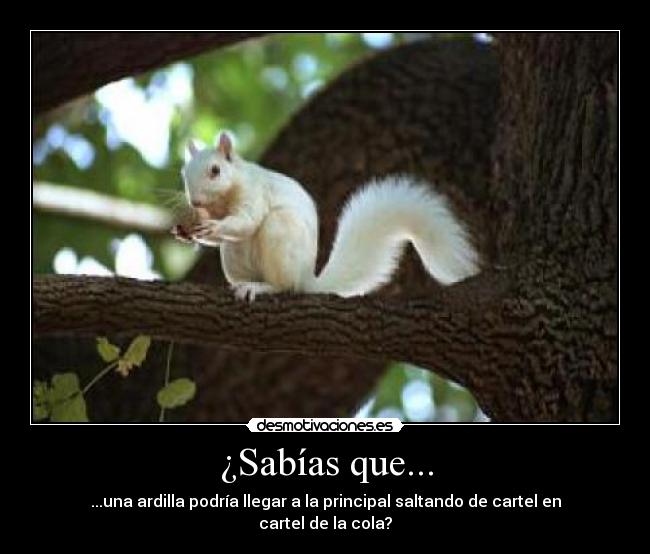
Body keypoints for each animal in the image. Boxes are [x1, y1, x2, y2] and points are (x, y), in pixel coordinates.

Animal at [171, 132, 480, 302]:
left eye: (215, 171)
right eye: (184, 173)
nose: (195, 201)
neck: (222, 201)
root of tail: (308, 279)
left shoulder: (255, 191)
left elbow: (247, 221)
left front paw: (214, 226)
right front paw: (185, 232)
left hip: (280, 232)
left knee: (285, 286)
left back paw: (262, 287)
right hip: (233, 256)